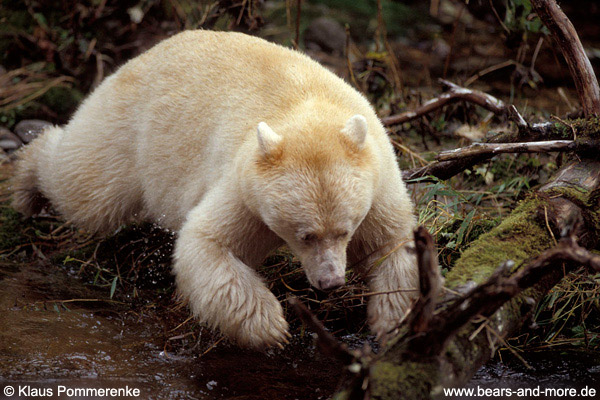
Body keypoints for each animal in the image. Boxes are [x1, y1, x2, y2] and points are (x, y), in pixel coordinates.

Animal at [12, 29, 418, 348]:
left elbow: (393, 243)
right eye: (305, 235)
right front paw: (271, 327)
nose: (330, 282)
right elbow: (206, 242)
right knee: (86, 185)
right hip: (130, 128)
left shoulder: (378, 178)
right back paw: (24, 182)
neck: (311, 108)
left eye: (345, 230)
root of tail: (146, 52)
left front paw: (391, 321)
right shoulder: (245, 188)